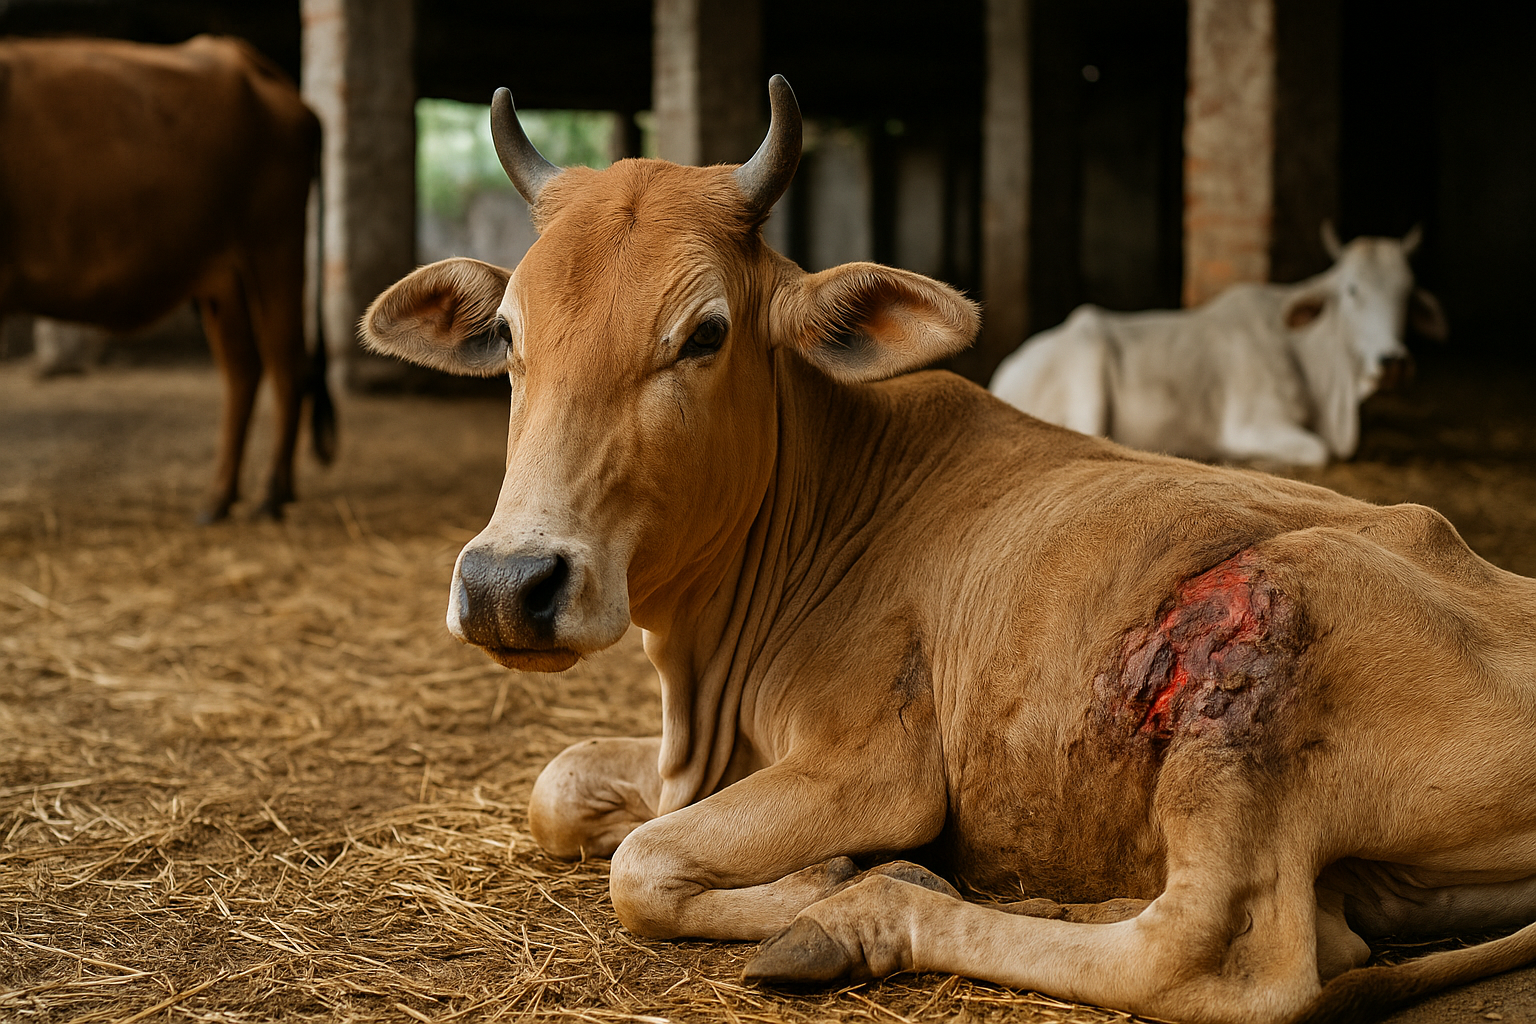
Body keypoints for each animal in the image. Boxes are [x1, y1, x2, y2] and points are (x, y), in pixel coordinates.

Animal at [0, 35, 334, 521]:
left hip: (274, 246)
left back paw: (270, 495)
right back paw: (221, 497)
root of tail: (245, 61)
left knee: (287, 365)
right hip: (224, 276)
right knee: (245, 369)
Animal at [988, 226, 1448, 466]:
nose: (1393, 361)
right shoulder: (1252, 423)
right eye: (1352, 290)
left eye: (1407, 294)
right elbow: (1319, 452)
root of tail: (1005, 373)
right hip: (1088, 364)